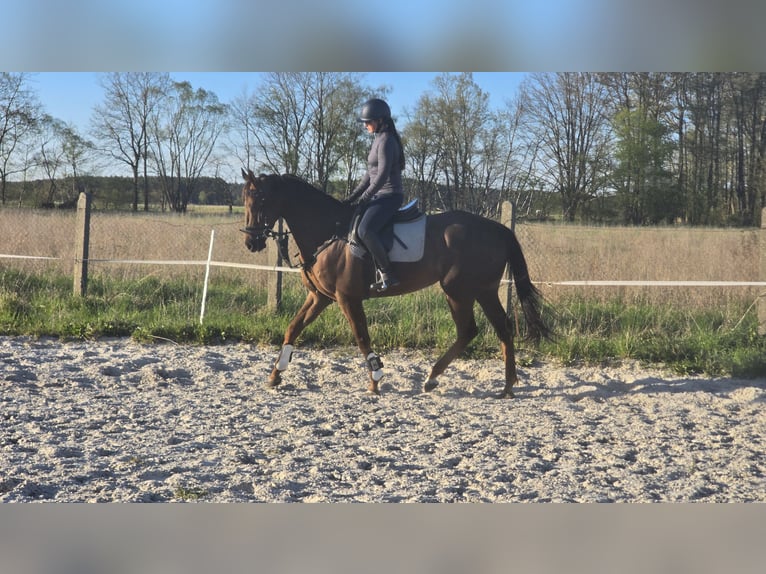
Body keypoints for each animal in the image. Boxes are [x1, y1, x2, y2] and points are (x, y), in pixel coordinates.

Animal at [240, 169, 551, 398]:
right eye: (245, 201)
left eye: (262, 201)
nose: (251, 242)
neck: (330, 233)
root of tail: (497, 229)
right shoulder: (320, 297)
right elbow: (292, 329)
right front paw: (275, 374)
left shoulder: (347, 298)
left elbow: (361, 337)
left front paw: (376, 379)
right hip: (479, 291)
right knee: (498, 328)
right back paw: (503, 384)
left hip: (461, 290)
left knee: (472, 330)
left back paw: (439, 378)